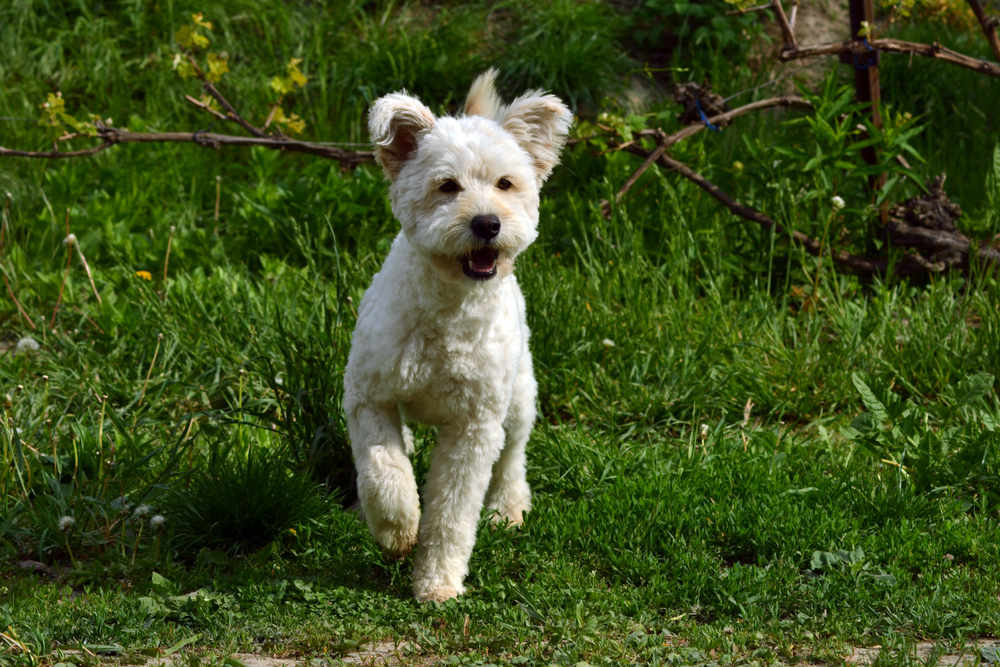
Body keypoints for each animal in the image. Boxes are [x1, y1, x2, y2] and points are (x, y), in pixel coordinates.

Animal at [346, 70, 572, 604]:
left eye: (505, 184)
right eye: (447, 186)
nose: (487, 223)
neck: (448, 315)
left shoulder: (474, 427)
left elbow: (452, 512)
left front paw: (438, 582)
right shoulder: (368, 397)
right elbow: (383, 471)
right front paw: (397, 527)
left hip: (518, 396)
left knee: (513, 456)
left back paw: (508, 509)